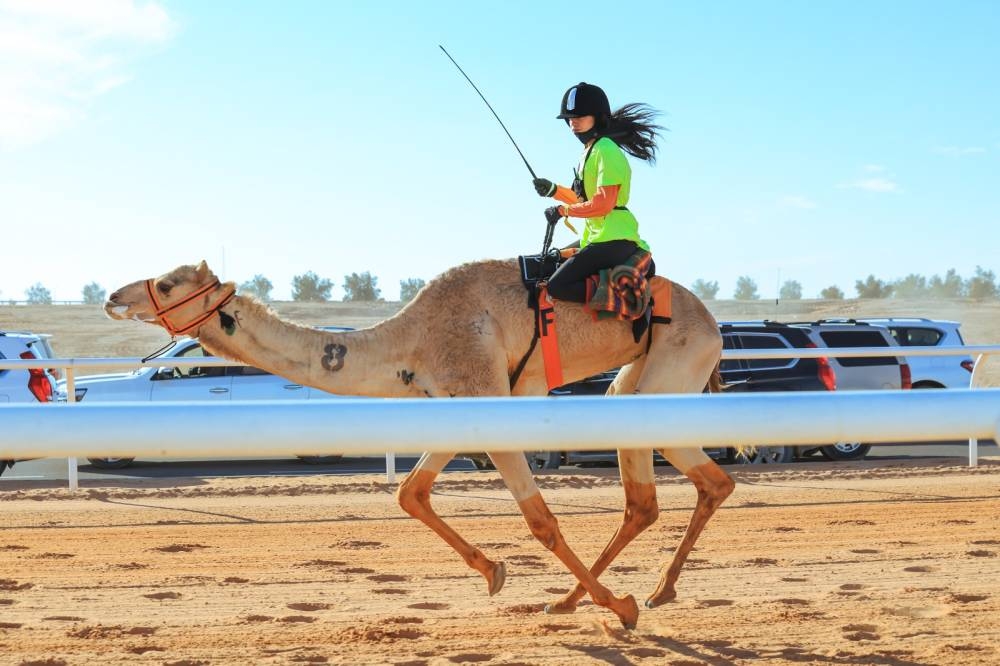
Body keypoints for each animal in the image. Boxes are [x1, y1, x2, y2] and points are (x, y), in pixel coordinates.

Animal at [103, 260, 736, 628]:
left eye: (166, 282)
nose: (113, 296)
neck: (408, 341)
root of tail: (714, 326)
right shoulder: (454, 406)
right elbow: (410, 493)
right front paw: (494, 573)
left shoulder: (487, 400)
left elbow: (540, 521)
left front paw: (618, 608)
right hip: (633, 389)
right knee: (666, 495)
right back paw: (620, 594)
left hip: (668, 374)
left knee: (692, 486)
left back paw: (630, 596)